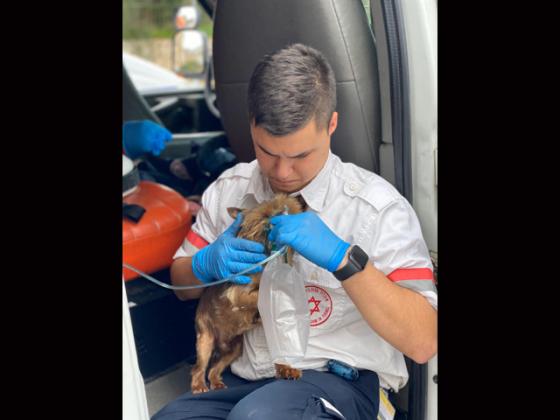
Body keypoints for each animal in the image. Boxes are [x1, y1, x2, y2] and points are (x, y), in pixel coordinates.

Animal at [191, 194, 306, 394]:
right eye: (265, 215)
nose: (283, 213)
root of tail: (221, 343)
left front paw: (285, 369)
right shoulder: (237, 292)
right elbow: (257, 295)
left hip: (234, 349)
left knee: (214, 368)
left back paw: (216, 382)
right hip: (205, 339)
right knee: (199, 367)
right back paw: (199, 386)